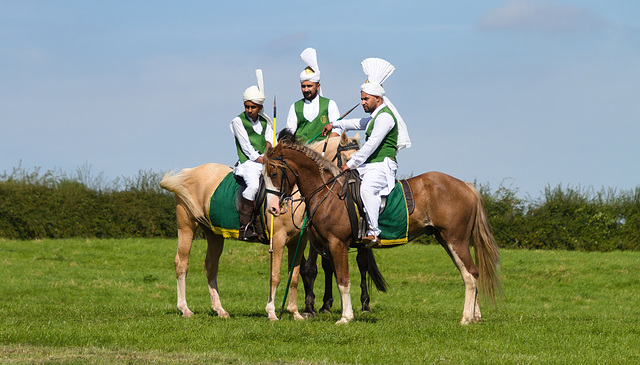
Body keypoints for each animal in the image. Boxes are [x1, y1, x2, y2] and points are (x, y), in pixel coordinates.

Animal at [160, 133, 382, 318]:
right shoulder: (279, 239)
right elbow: (275, 276)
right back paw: (185, 309)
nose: (358, 186)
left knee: (211, 266)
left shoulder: (298, 242)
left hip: (214, 233)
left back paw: (219, 310)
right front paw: (273, 313)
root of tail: (189, 172)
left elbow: (294, 276)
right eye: (348, 158)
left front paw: (295, 313)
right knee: (181, 263)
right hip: (187, 226)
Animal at [262, 137, 502, 324]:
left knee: (470, 275)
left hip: (456, 241)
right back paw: (475, 316)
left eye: (273, 172)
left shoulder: (337, 244)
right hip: (447, 241)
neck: (328, 192)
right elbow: (336, 278)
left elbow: (343, 280)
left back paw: (466, 318)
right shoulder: (329, 247)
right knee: (469, 273)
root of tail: (466, 186)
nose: (272, 208)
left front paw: (346, 317)